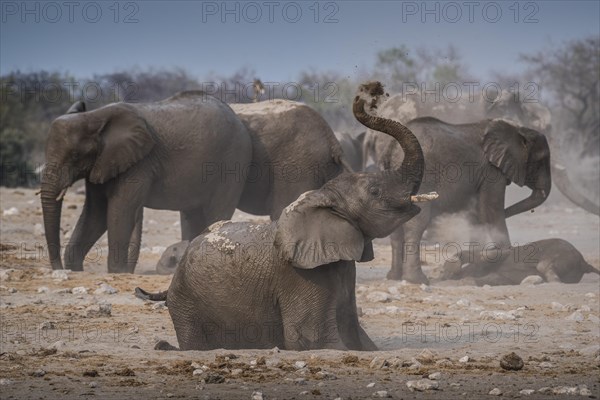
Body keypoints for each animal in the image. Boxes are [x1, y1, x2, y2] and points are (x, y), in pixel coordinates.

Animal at [39, 91, 251, 274]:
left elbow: (119, 209)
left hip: (231, 163)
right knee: (193, 214)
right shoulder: (102, 162)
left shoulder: (139, 163)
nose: (59, 269)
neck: (93, 116)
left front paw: (118, 272)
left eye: (75, 155)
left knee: (217, 212)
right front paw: (76, 269)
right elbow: (95, 212)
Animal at [136, 82, 436, 350]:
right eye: (374, 191)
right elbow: (312, 341)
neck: (322, 199)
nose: (368, 93)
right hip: (186, 305)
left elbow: (358, 338)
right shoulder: (302, 276)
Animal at [364, 94, 552, 282]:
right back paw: (417, 280)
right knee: (417, 223)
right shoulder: (492, 171)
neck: (518, 129)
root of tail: (390, 148)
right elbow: (491, 210)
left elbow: (478, 212)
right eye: (540, 161)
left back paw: (394, 277)